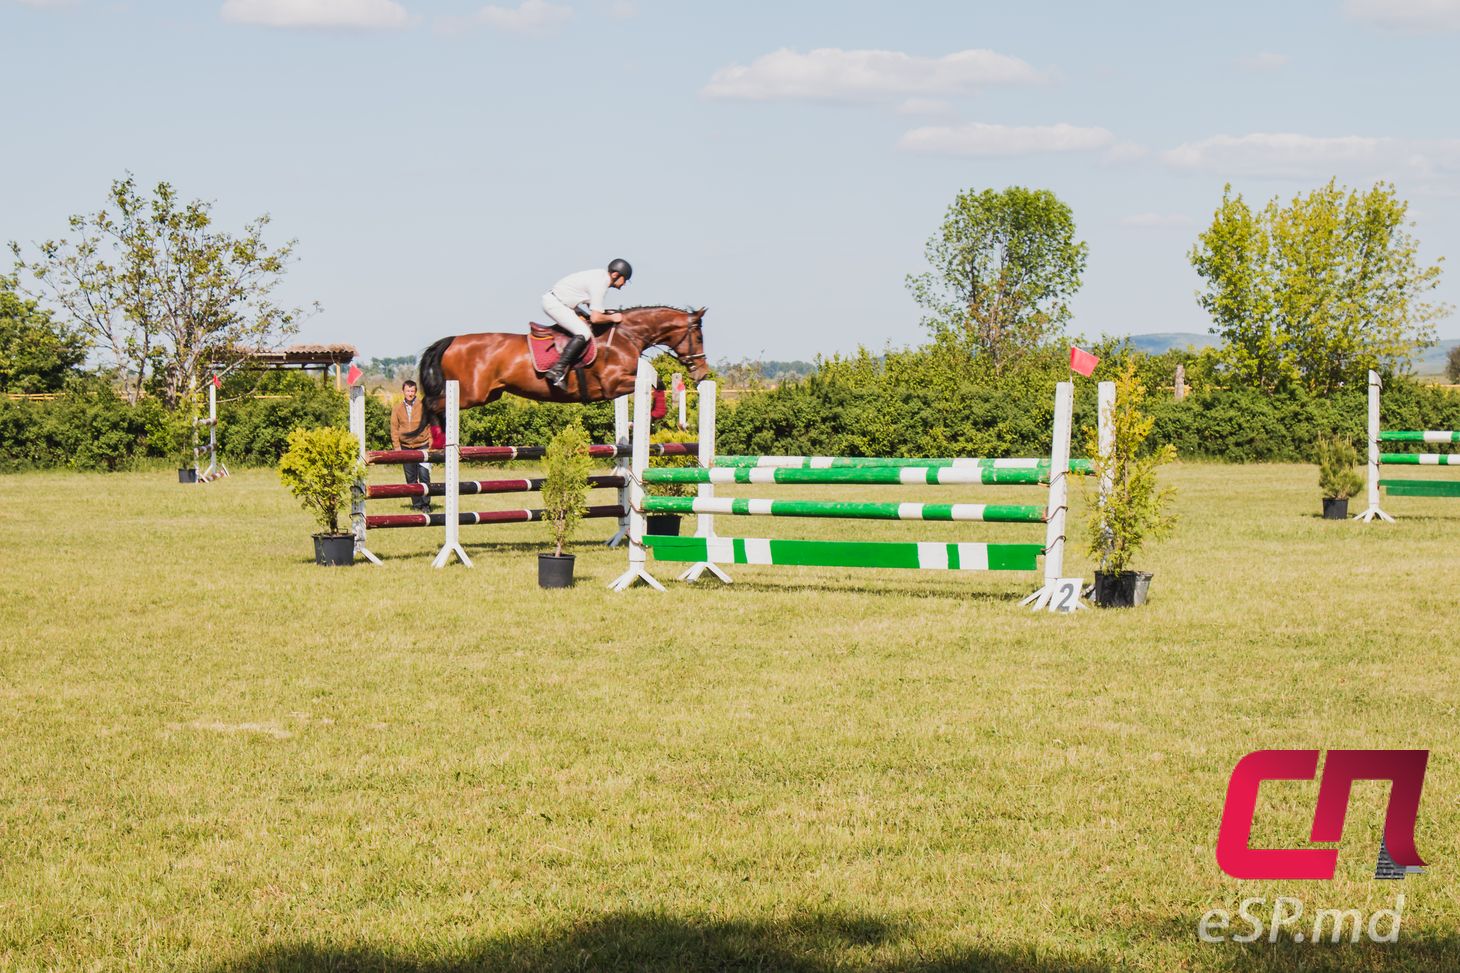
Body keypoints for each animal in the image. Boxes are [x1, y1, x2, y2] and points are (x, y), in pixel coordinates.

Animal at [411, 299, 712, 429]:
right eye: (698, 337)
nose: (702, 372)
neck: (626, 335)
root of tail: (453, 340)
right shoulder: (613, 384)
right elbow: (654, 383)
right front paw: (656, 413)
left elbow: (657, 381)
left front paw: (656, 413)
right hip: (470, 393)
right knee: (430, 403)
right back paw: (436, 438)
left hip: (488, 394)